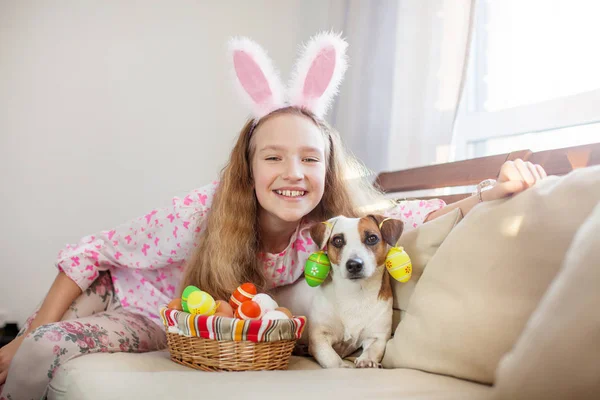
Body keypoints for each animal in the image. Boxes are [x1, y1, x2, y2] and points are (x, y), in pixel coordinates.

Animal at [304, 216, 404, 368]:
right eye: (338, 240)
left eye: (372, 238)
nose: (354, 264)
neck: (354, 292)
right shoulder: (319, 336)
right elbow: (331, 358)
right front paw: (341, 366)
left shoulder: (377, 337)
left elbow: (371, 351)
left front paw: (367, 361)